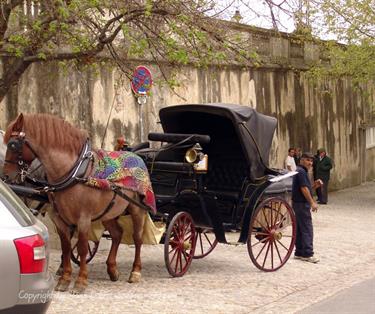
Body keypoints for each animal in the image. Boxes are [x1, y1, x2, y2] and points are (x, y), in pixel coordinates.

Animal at [2, 113, 153, 294]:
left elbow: (81, 248)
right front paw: (64, 279)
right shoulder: (60, 218)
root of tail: (137, 156)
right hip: (108, 212)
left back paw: (135, 271)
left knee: (137, 238)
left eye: (12, 144)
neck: (74, 172)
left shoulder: (84, 218)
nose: (6, 176)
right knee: (117, 234)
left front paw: (80, 281)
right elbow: (66, 247)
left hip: (137, 209)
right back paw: (112, 269)